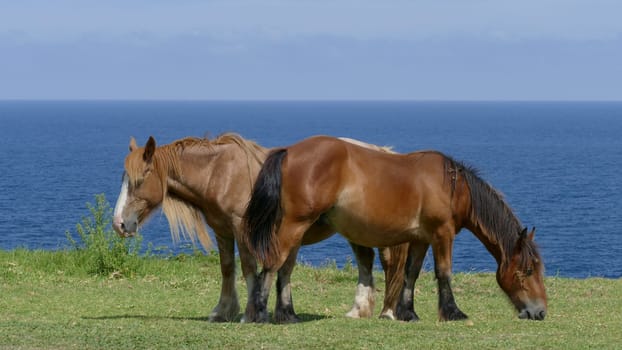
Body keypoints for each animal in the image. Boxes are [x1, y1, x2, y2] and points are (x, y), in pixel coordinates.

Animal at [112, 133, 410, 322]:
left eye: (139, 180)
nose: (119, 223)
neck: (219, 173)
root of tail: (381, 153)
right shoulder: (222, 230)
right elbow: (228, 268)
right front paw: (223, 310)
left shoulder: (243, 229)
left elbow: (248, 268)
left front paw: (250, 312)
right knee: (366, 262)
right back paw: (359, 310)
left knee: (387, 264)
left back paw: (387, 311)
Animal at [246, 135, 548, 324]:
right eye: (527, 270)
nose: (540, 312)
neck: (453, 187)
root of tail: (289, 151)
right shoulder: (442, 234)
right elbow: (444, 272)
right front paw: (452, 312)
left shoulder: (421, 238)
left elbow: (410, 274)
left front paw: (407, 313)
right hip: (294, 225)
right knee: (273, 263)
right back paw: (260, 313)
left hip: (298, 230)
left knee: (285, 269)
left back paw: (288, 315)